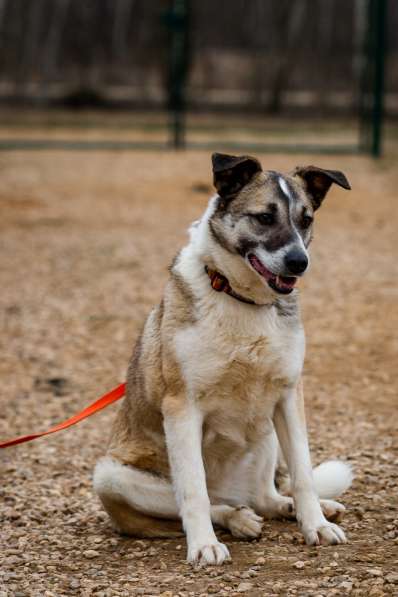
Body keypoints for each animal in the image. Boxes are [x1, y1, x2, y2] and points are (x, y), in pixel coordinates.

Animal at [94, 152, 354, 564]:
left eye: (306, 219)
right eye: (264, 217)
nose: (299, 262)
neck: (242, 299)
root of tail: (235, 492)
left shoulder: (288, 397)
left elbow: (303, 474)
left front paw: (316, 524)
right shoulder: (182, 408)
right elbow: (194, 492)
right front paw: (203, 545)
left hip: (267, 432)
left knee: (265, 496)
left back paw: (289, 507)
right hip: (112, 477)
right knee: (205, 502)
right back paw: (237, 519)